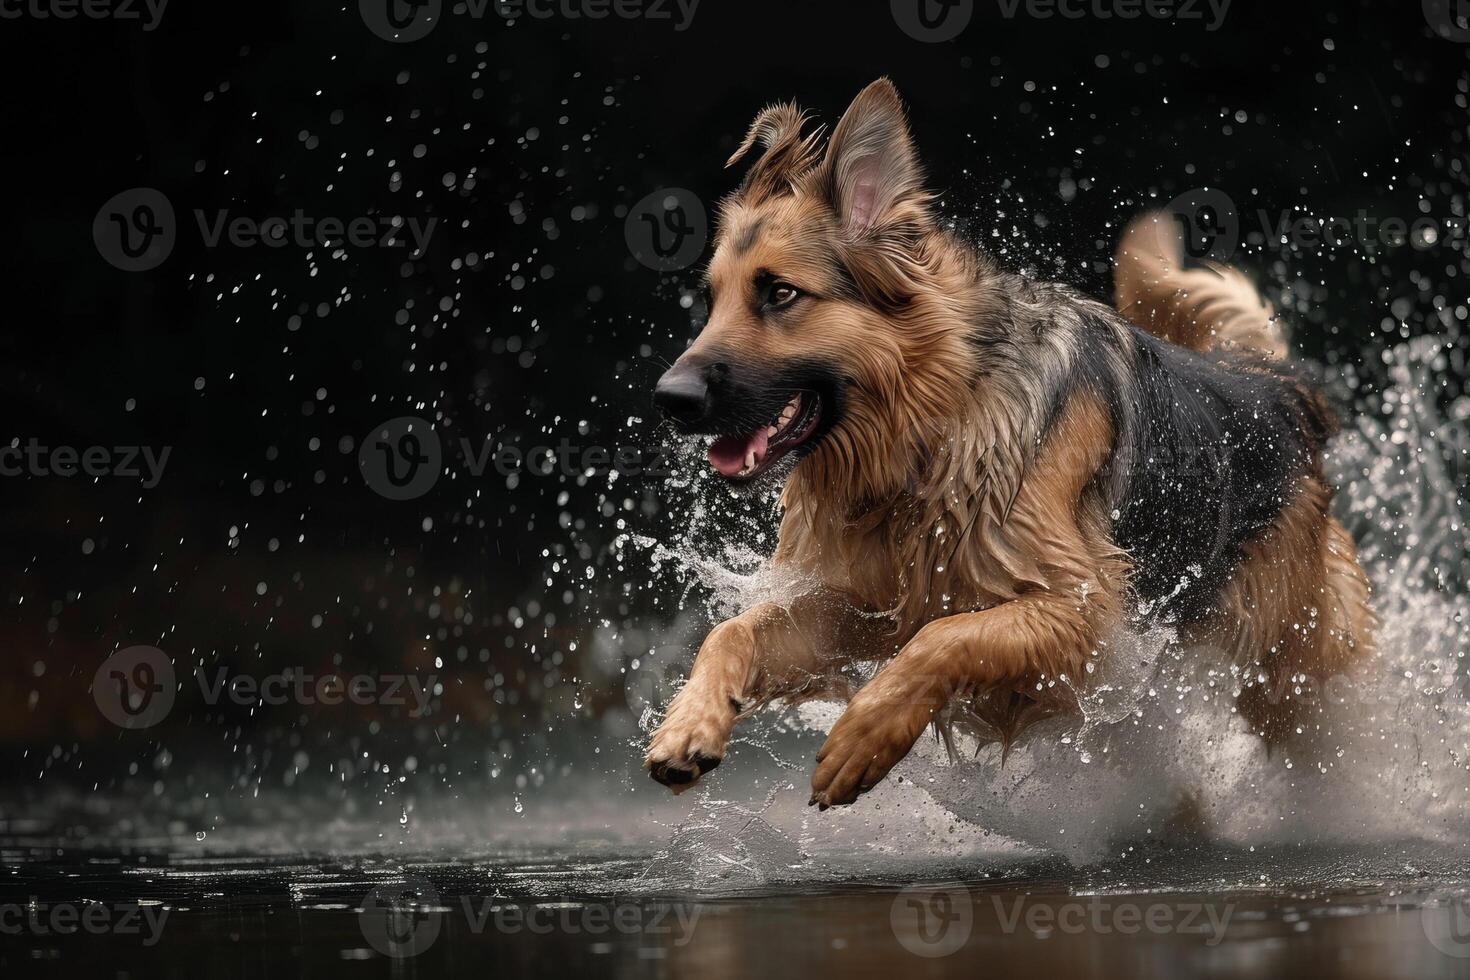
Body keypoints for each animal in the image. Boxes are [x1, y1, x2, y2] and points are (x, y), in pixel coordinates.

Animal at [646, 76, 1375, 811]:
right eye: (713, 299)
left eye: (780, 293)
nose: (667, 397)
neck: (937, 426)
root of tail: (1278, 386)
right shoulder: (866, 604)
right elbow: (734, 630)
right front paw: (689, 723)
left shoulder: (1086, 621)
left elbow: (943, 639)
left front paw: (865, 735)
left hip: (1298, 686)